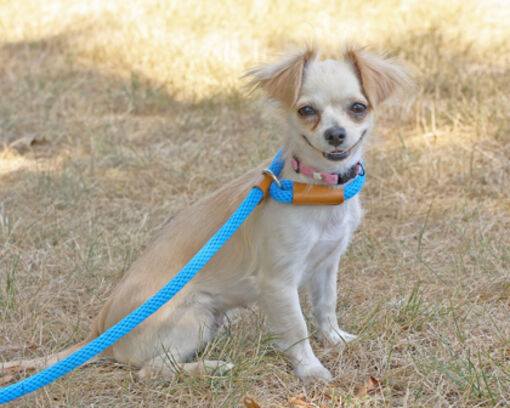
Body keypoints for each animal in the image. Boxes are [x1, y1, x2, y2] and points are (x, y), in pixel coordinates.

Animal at [0, 46, 406, 384]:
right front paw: (310, 369)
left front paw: (336, 339)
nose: (336, 134)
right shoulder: (278, 282)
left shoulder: (326, 265)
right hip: (194, 315)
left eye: (358, 108)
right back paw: (212, 368)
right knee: (152, 371)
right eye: (307, 111)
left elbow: (325, 307)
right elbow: (296, 329)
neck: (318, 189)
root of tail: (100, 333)